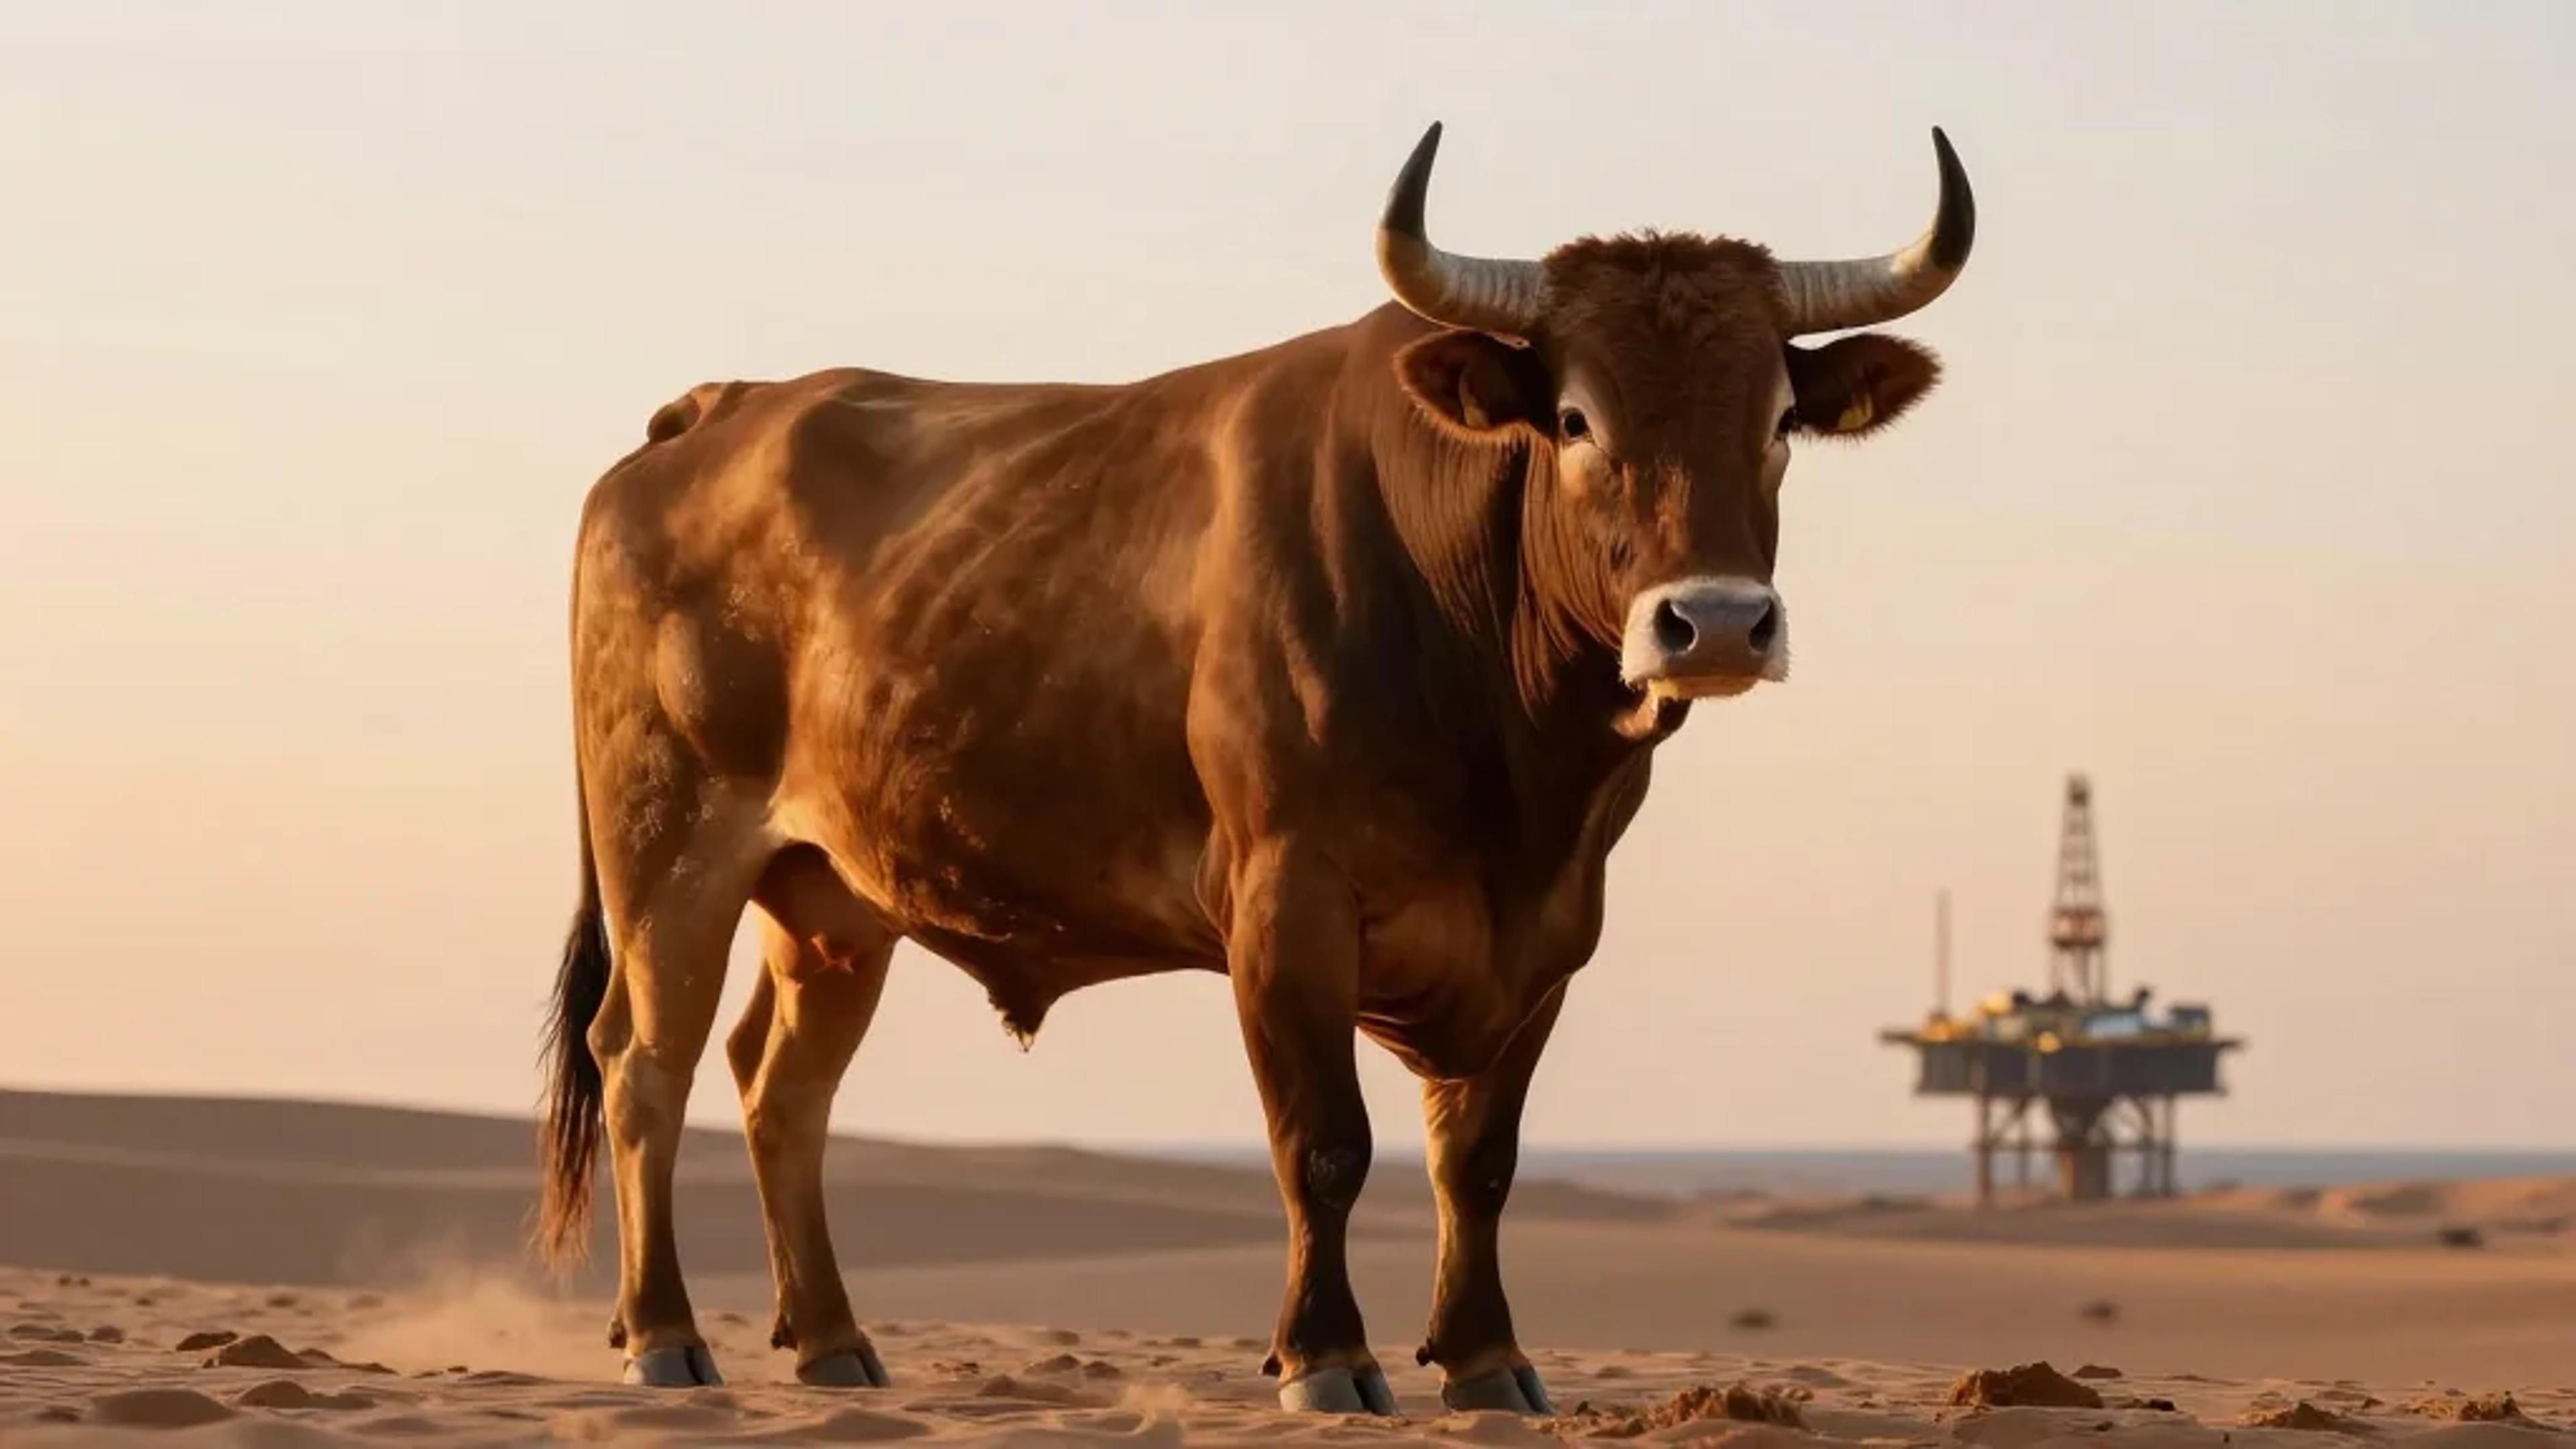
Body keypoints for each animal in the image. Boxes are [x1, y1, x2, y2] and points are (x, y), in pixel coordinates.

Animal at [535, 121, 1975, 1415]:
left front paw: (1488, 1359)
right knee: (645, 1066)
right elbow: (1323, 1142)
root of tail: (719, 411)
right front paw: (1326, 1357)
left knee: (782, 1087)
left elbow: (1480, 1160)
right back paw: (665, 1337)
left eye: (1780, 419)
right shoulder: (1289, 903)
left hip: (833, 896)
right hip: (669, 852)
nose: (1716, 623)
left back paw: (834, 1341)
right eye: (1574, 418)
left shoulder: (1550, 931)